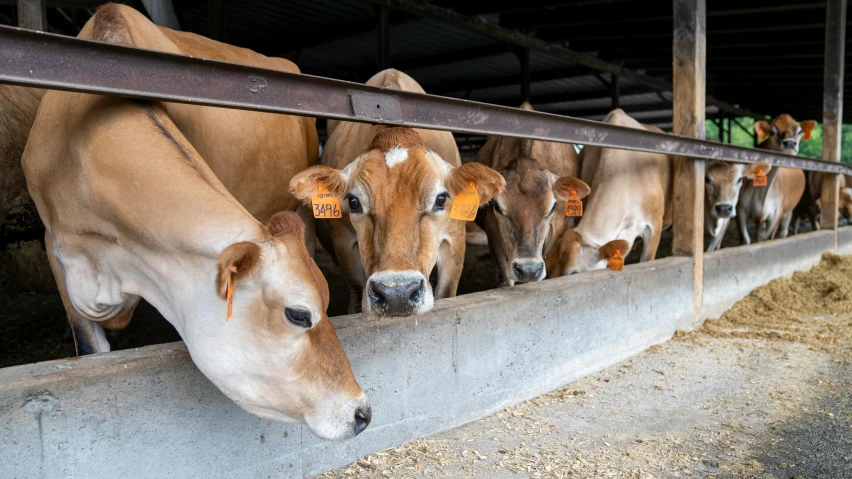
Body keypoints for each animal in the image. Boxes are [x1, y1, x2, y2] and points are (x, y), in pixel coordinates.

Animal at [292, 68, 506, 316]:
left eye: (441, 199)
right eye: (353, 202)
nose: (397, 294)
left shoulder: (455, 239)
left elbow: (447, 292)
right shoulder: (342, 240)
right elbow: (356, 286)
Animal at [472, 103, 584, 284]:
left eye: (553, 207)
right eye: (497, 205)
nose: (528, 269)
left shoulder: (557, 225)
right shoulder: (491, 227)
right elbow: (505, 275)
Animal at [736, 115, 808, 244]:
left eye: (800, 131)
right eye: (772, 132)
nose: (790, 143)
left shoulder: (776, 212)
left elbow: (766, 237)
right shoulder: (740, 209)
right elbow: (746, 240)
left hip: (789, 209)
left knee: (783, 231)